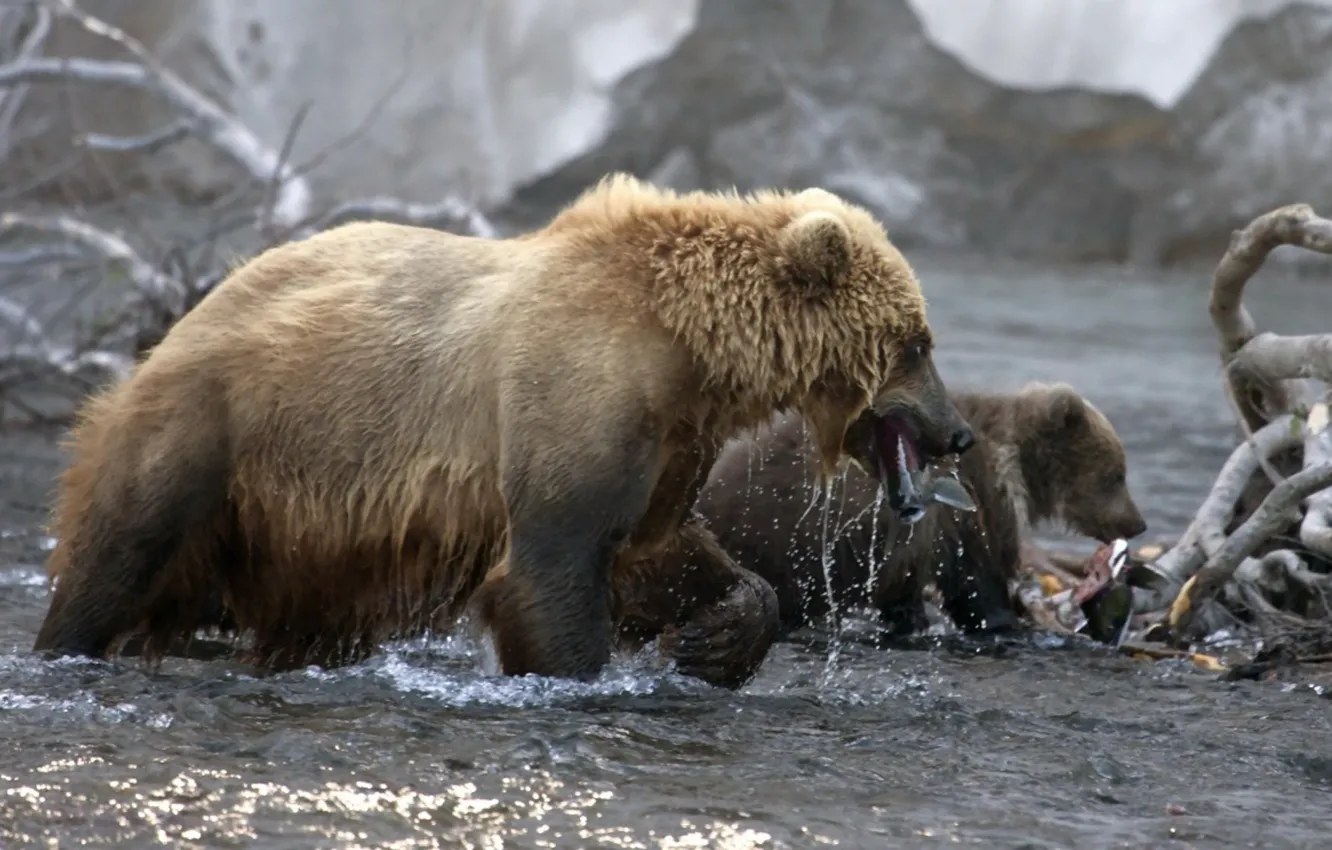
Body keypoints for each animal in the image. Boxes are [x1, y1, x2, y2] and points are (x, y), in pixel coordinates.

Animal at [31, 173, 976, 690]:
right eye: (918, 341)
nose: (959, 431)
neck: (691, 350)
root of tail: (179, 326)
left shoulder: (667, 436)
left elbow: (656, 548)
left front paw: (721, 634)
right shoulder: (574, 387)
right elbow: (554, 564)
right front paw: (579, 672)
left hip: (299, 532)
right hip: (212, 432)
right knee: (121, 551)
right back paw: (66, 645)